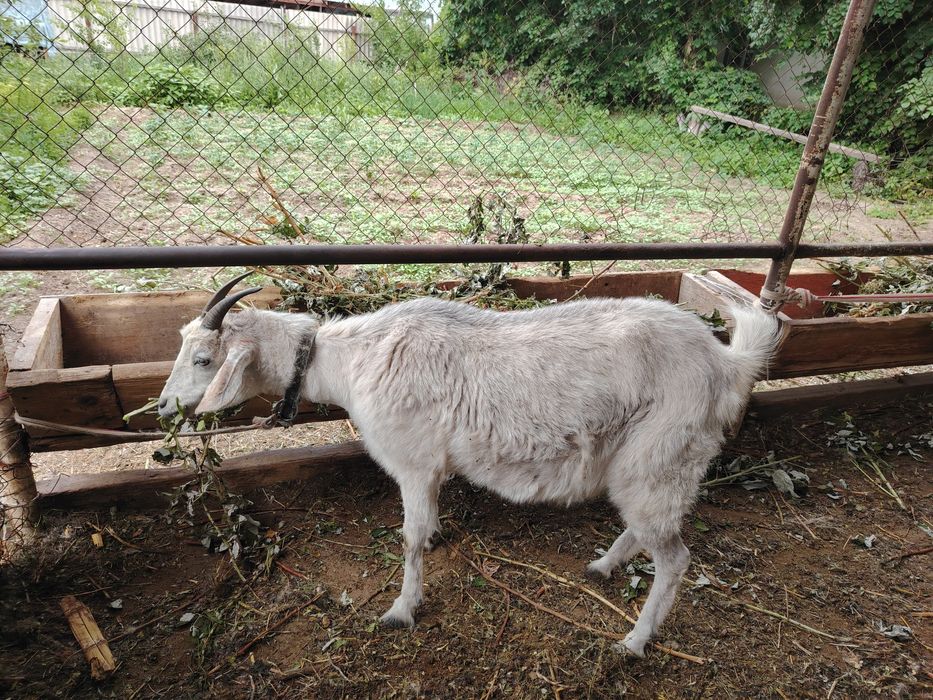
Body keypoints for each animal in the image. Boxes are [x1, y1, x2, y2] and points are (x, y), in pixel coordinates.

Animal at [159, 274, 783, 656]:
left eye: (204, 359)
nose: (163, 407)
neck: (352, 359)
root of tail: (726, 361)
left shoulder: (411, 461)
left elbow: (408, 538)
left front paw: (401, 609)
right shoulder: (429, 469)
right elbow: (427, 523)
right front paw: (435, 542)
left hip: (662, 455)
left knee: (675, 558)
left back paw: (634, 641)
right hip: (647, 464)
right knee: (644, 528)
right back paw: (604, 566)